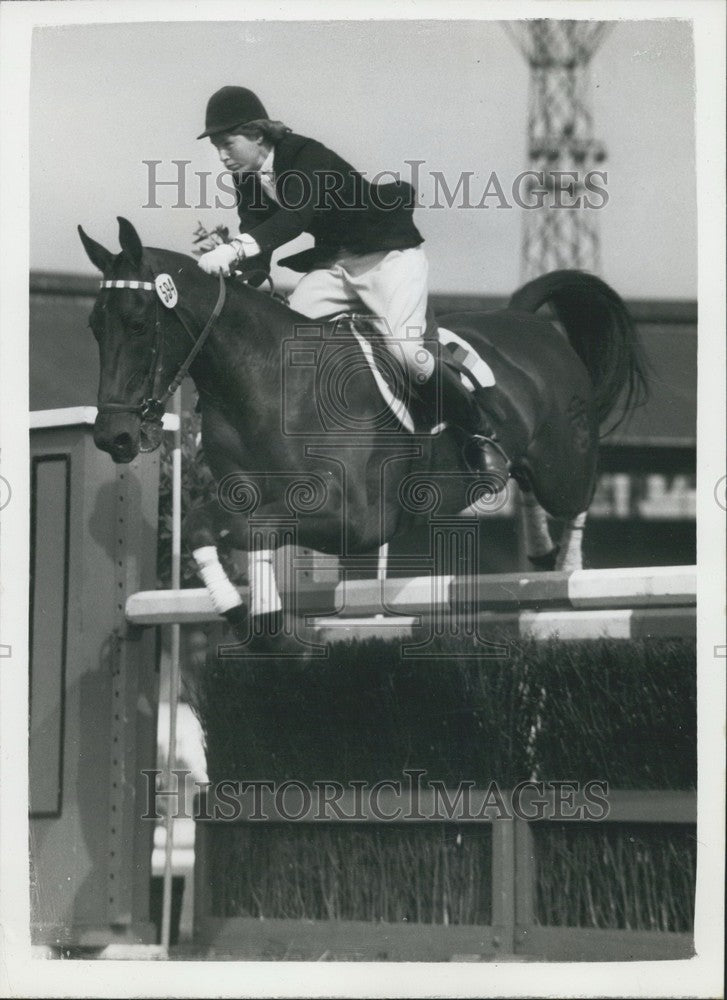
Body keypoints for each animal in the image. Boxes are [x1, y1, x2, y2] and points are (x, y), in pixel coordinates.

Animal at [79, 221, 648, 640]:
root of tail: (529, 323)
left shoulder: (352, 519)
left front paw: (256, 618)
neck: (262, 379)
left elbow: (249, 526)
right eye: (94, 327)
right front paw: (249, 617)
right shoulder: (243, 495)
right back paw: (540, 553)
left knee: (576, 496)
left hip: (561, 464)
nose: (113, 437)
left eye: (137, 324)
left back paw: (567, 571)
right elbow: (204, 524)